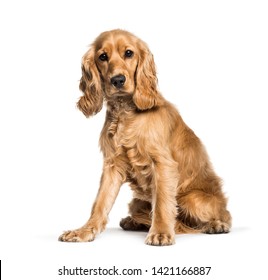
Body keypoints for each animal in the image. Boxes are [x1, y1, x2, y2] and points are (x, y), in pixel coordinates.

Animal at [58, 29, 230, 246]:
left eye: (129, 53)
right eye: (103, 56)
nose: (118, 80)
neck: (126, 113)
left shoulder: (163, 164)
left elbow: (163, 203)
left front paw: (161, 233)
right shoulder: (112, 165)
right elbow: (100, 202)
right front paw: (84, 231)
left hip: (194, 199)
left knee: (223, 216)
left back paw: (216, 225)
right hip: (137, 202)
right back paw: (132, 222)